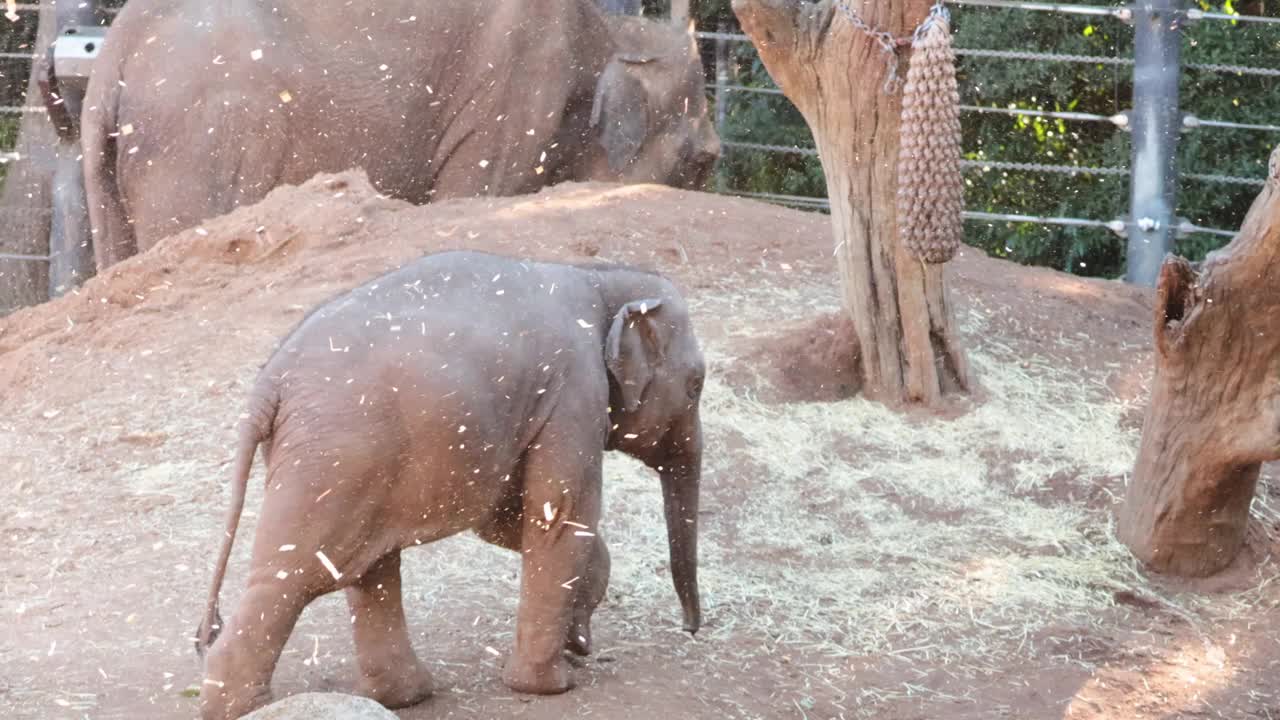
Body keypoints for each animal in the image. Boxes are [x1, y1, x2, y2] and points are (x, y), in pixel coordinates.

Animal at [74, 1, 721, 270]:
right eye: (703, 163)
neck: (613, 30)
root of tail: (113, 56)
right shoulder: (516, 87)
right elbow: (474, 194)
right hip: (203, 137)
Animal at [194, 248, 706, 717]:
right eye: (697, 385)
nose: (692, 629)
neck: (599, 278)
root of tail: (270, 381)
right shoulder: (576, 390)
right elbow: (559, 513)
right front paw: (553, 684)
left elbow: (506, 518)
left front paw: (576, 637)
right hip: (335, 457)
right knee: (294, 576)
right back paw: (245, 706)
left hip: (349, 463)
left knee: (368, 566)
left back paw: (407, 696)